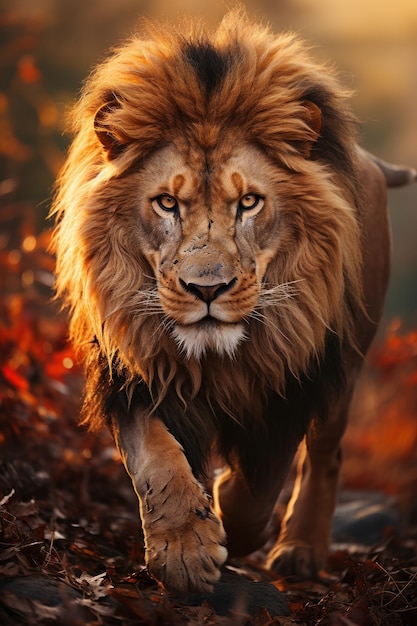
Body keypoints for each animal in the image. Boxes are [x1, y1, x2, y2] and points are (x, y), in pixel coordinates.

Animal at [50, 12, 414, 592]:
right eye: (166, 203)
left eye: (248, 202)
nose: (206, 290)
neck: (220, 357)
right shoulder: (138, 372)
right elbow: (155, 459)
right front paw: (184, 550)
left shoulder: (292, 380)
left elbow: (261, 488)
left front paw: (226, 514)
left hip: (348, 359)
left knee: (325, 455)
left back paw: (300, 550)